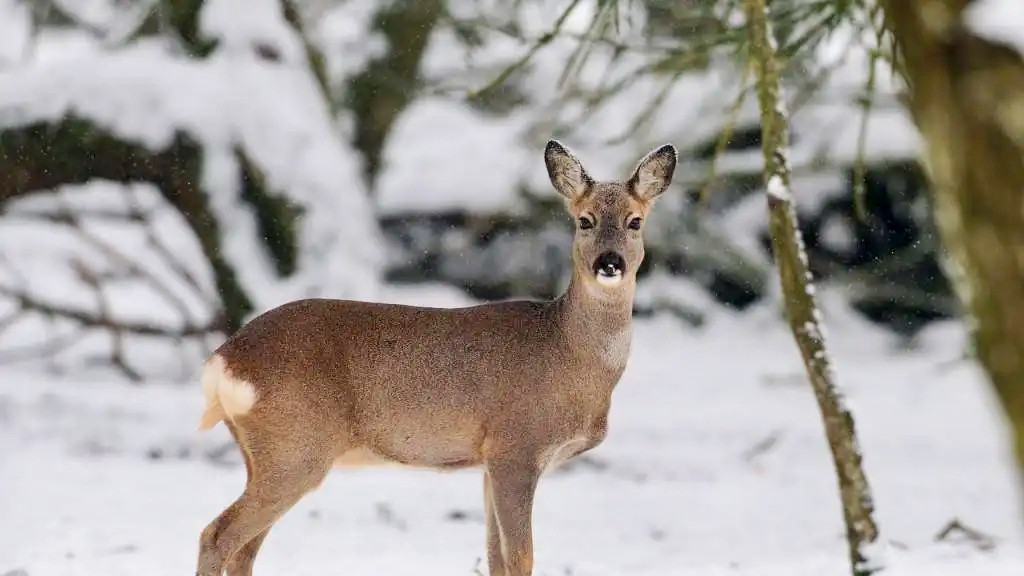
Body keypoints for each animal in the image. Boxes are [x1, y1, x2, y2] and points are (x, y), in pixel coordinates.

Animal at [194, 140, 679, 573]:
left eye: (635, 222)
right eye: (585, 220)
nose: (609, 263)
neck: (568, 353)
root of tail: (223, 360)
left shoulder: (488, 462)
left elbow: (496, 558)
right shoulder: (516, 447)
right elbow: (520, 558)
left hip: (264, 454)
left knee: (244, 550)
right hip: (296, 448)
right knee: (217, 535)